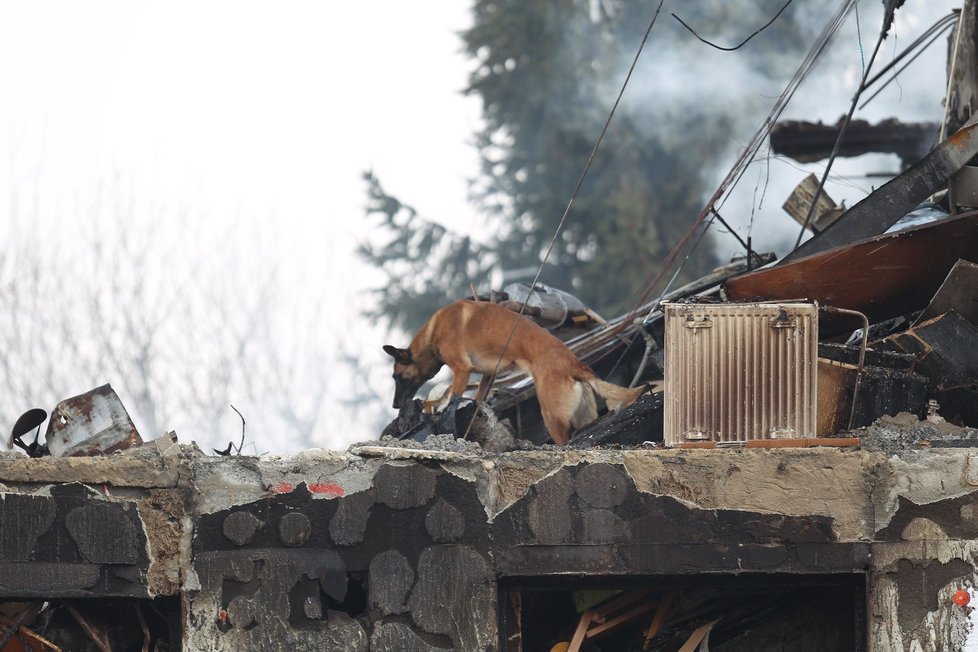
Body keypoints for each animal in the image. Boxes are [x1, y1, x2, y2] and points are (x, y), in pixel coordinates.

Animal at [384, 300, 648, 444]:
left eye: (397, 377)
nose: (395, 405)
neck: (433, 333)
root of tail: (574, 364)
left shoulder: (461, 369)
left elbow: (452, 401)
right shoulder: (488, 374)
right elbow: (478, 396)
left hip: (552, 417)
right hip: (583, 415)